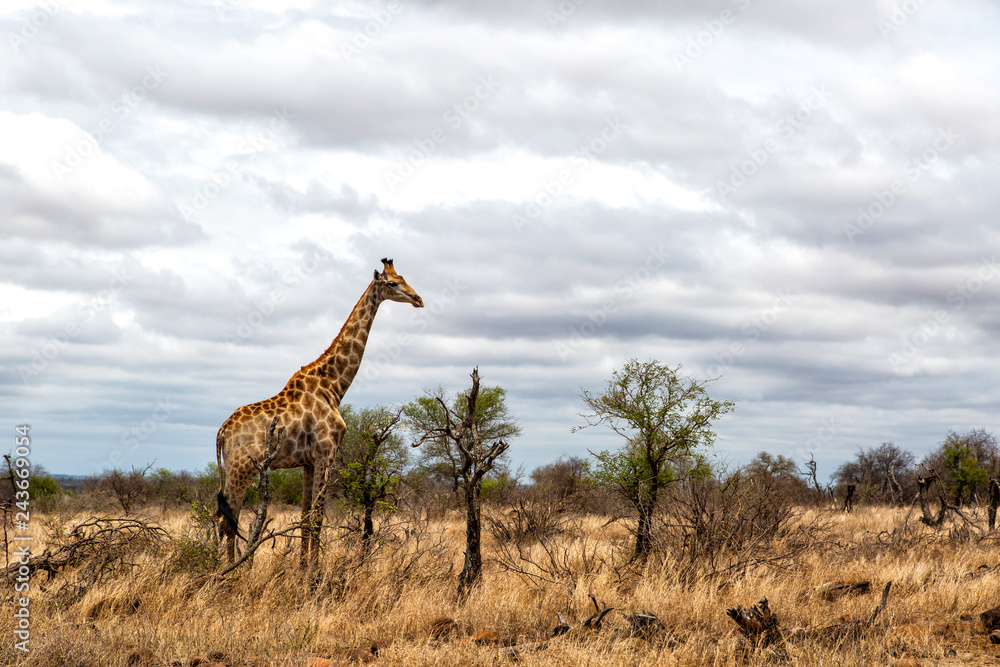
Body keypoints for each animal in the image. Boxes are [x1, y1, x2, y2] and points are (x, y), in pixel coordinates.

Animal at [215, 258, 423, 565]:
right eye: (392, 283)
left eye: (404, 277)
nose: (418, 299)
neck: (334, 385)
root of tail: (221, 431)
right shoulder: (327, 454)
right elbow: (317, 519)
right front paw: (315, 573)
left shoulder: (308, 462)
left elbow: (305, 519)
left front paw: (302, 569)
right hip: (241, 469)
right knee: (227, 521)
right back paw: (227, 571)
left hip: (237, 470)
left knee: (227, 519)